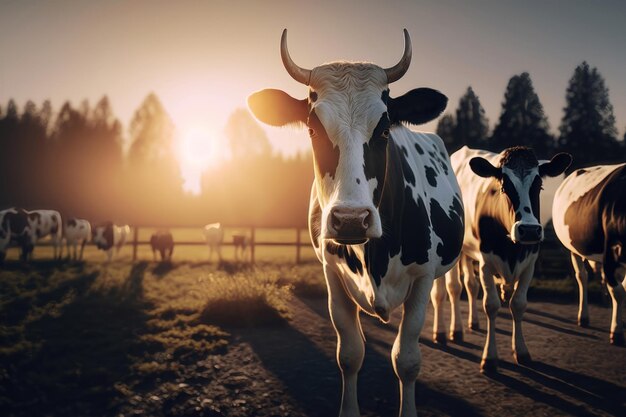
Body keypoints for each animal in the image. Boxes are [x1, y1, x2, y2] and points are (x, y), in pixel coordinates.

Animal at [249, 29, 464, 416]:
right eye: (312, 129)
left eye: (384, 129)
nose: (351, 220)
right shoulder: (332, 274)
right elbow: (350, 354)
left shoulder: (423, 276)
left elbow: (407, 359)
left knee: (450, 292)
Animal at [552, 162, 624, 344]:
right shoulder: (610, 254)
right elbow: (618, 292)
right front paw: (616, 332)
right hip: (573, 248)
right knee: (582, 277)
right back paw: (583, 318)